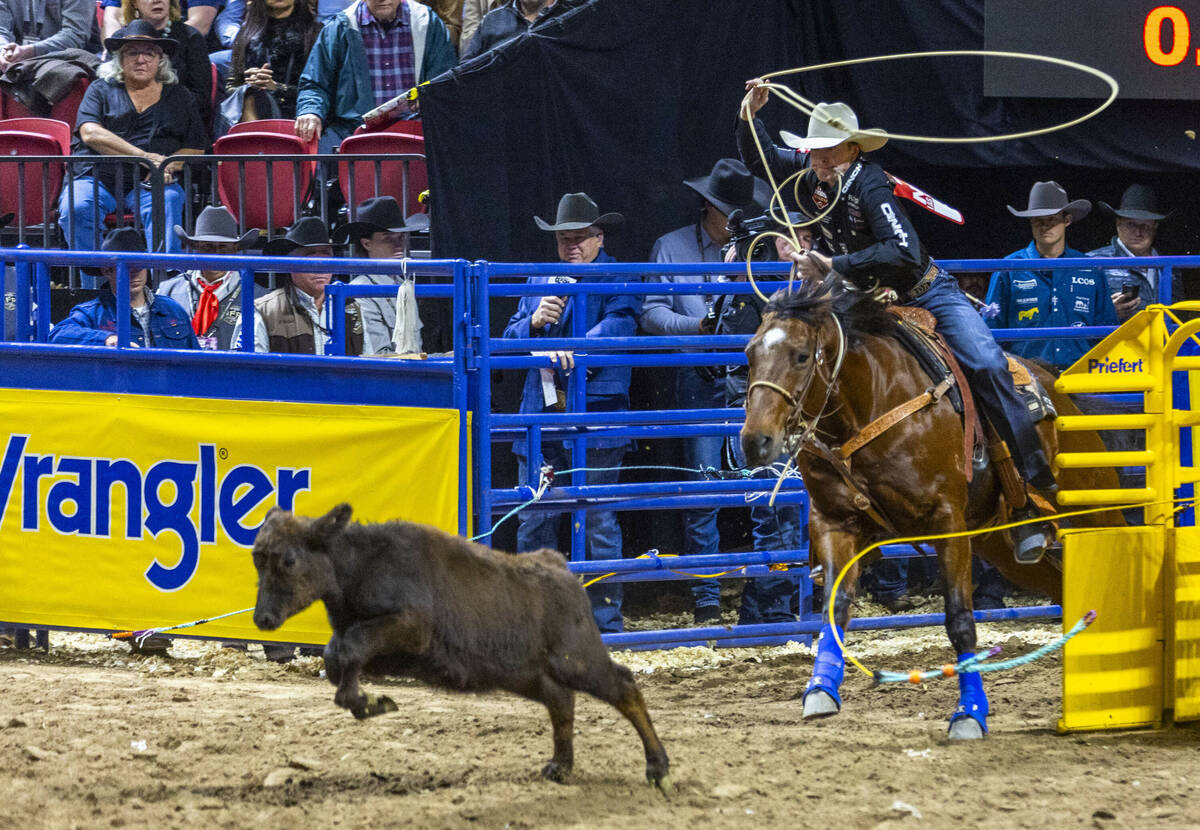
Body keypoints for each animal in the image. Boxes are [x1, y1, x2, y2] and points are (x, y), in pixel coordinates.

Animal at [739, 278, 1123, 738]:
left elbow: (960, 620)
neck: (870, 399)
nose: (755, 441)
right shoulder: (834, 521)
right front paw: (820, 690)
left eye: (800, 355)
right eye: (749, 354)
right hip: (1003, 547)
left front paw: (969, 714)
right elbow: (836, 607)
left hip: (1097, 512)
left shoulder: (947, 522)